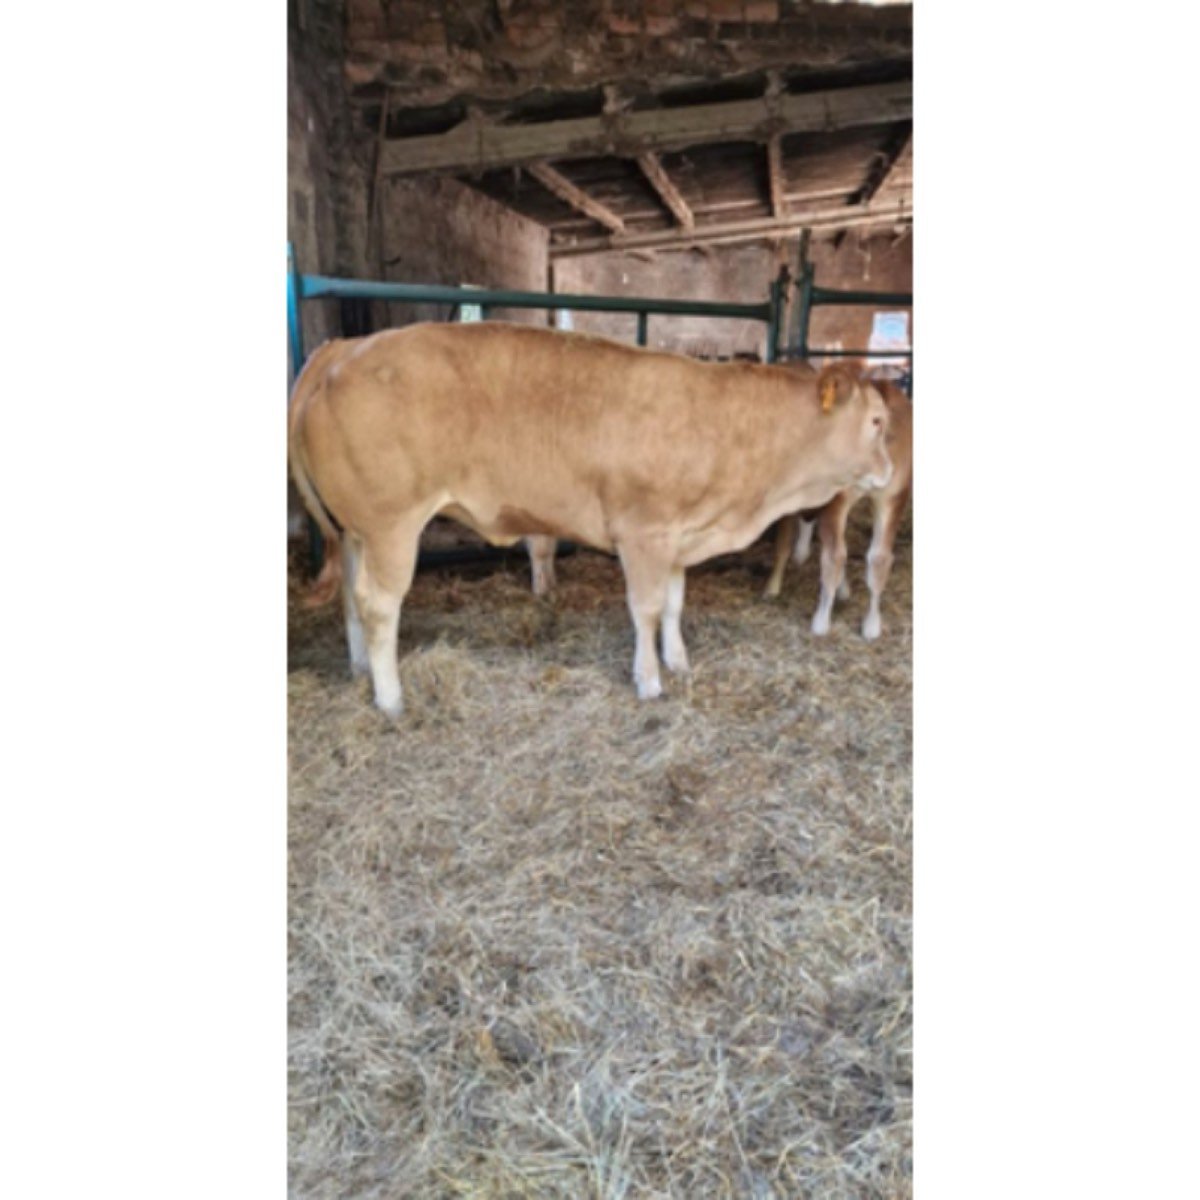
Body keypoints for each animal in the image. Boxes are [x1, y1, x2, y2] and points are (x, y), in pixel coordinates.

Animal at [288, 322, 893, 714]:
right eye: (878, 421)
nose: (891, 472)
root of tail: (344, 348)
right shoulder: (644, 534)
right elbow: (646, 609)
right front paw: (649, 680)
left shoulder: (680, 537)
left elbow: (674, 605)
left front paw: (678, 662)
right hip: (392, 526)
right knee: (379, 605)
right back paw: (390, 697)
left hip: (356, 532)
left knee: (352, 600)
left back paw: (362, 669)